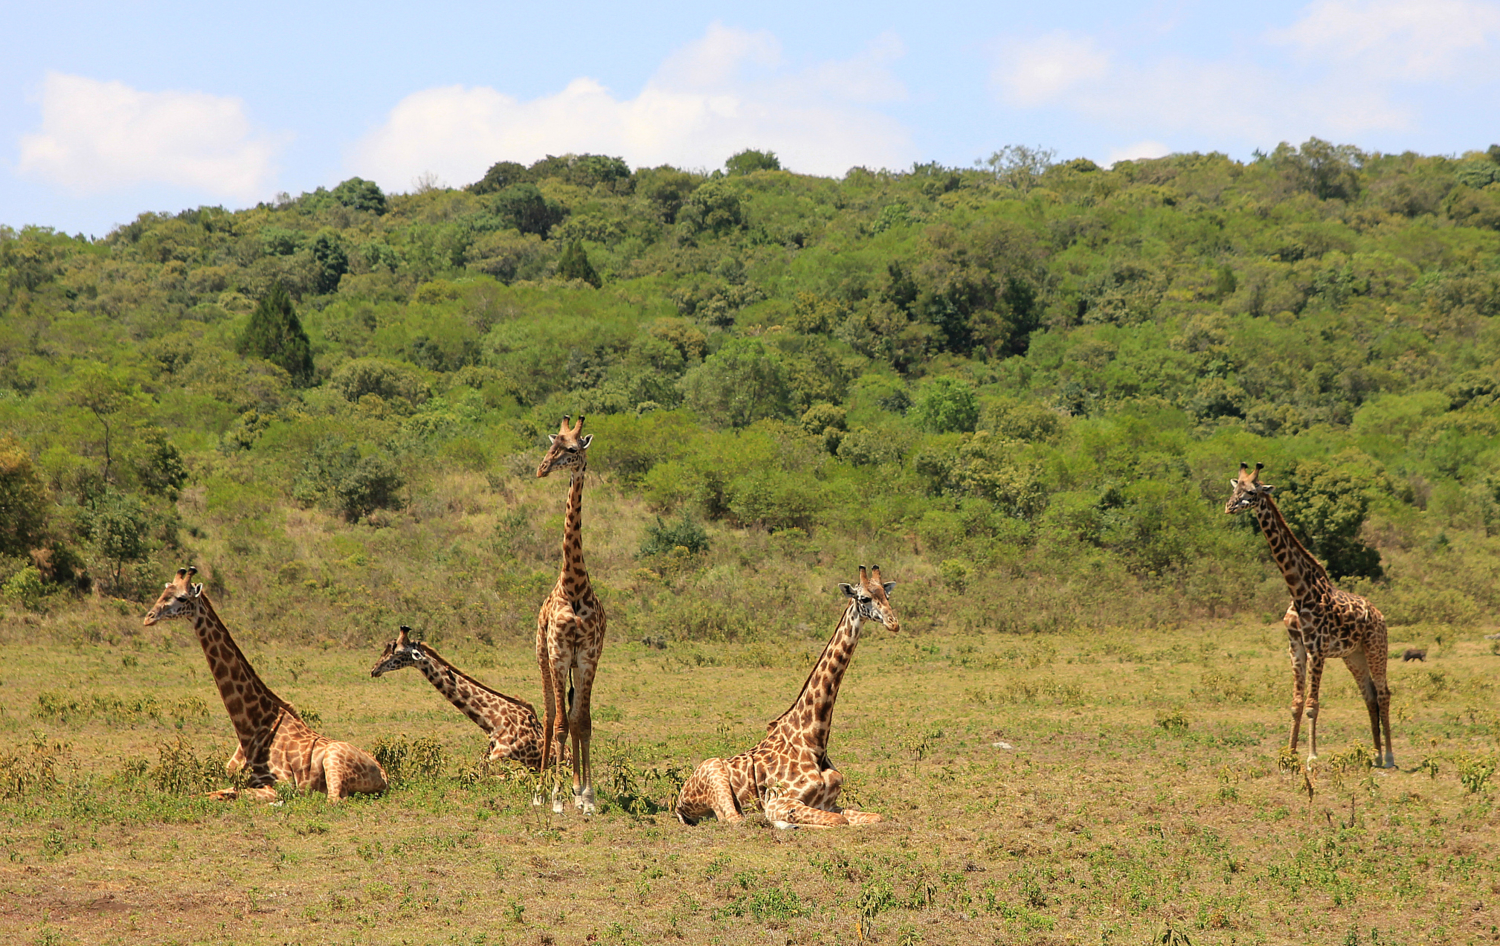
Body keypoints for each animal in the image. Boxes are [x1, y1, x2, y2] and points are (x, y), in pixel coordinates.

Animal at [141, 566, 387, 803]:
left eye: (182, 598)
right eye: (163, 592)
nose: (148, 618)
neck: (250, 727)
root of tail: (383, 775)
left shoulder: (280, 786)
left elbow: (234, 796)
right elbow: (201, 794)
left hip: (333, 758)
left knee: (334, 800)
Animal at [675, 569, 894, 827]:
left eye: (887, 595)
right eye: (864, 598)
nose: (893, 623)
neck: (814, 739)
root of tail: (679, 802)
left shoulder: (828, 803)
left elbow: (873, 816)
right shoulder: (779, 801)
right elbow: (836, 821)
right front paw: (787, 822)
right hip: (713, 769)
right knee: (735, 819)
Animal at [1230, 464, 1392, 767]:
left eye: (1252, 492)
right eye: (1234, 490)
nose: (1229, 507)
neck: (1298, 590)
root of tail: (1380, 615)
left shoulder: (1317, 649)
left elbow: (1312, 705)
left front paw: (1312, 757)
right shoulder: (1295, 647)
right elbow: (1295, 703)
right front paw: (1289, 754)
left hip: (1377, 647)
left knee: (1384, 693)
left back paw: (1388, 755)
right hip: (1354, 656)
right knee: (1370, 696)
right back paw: (1375, 755)